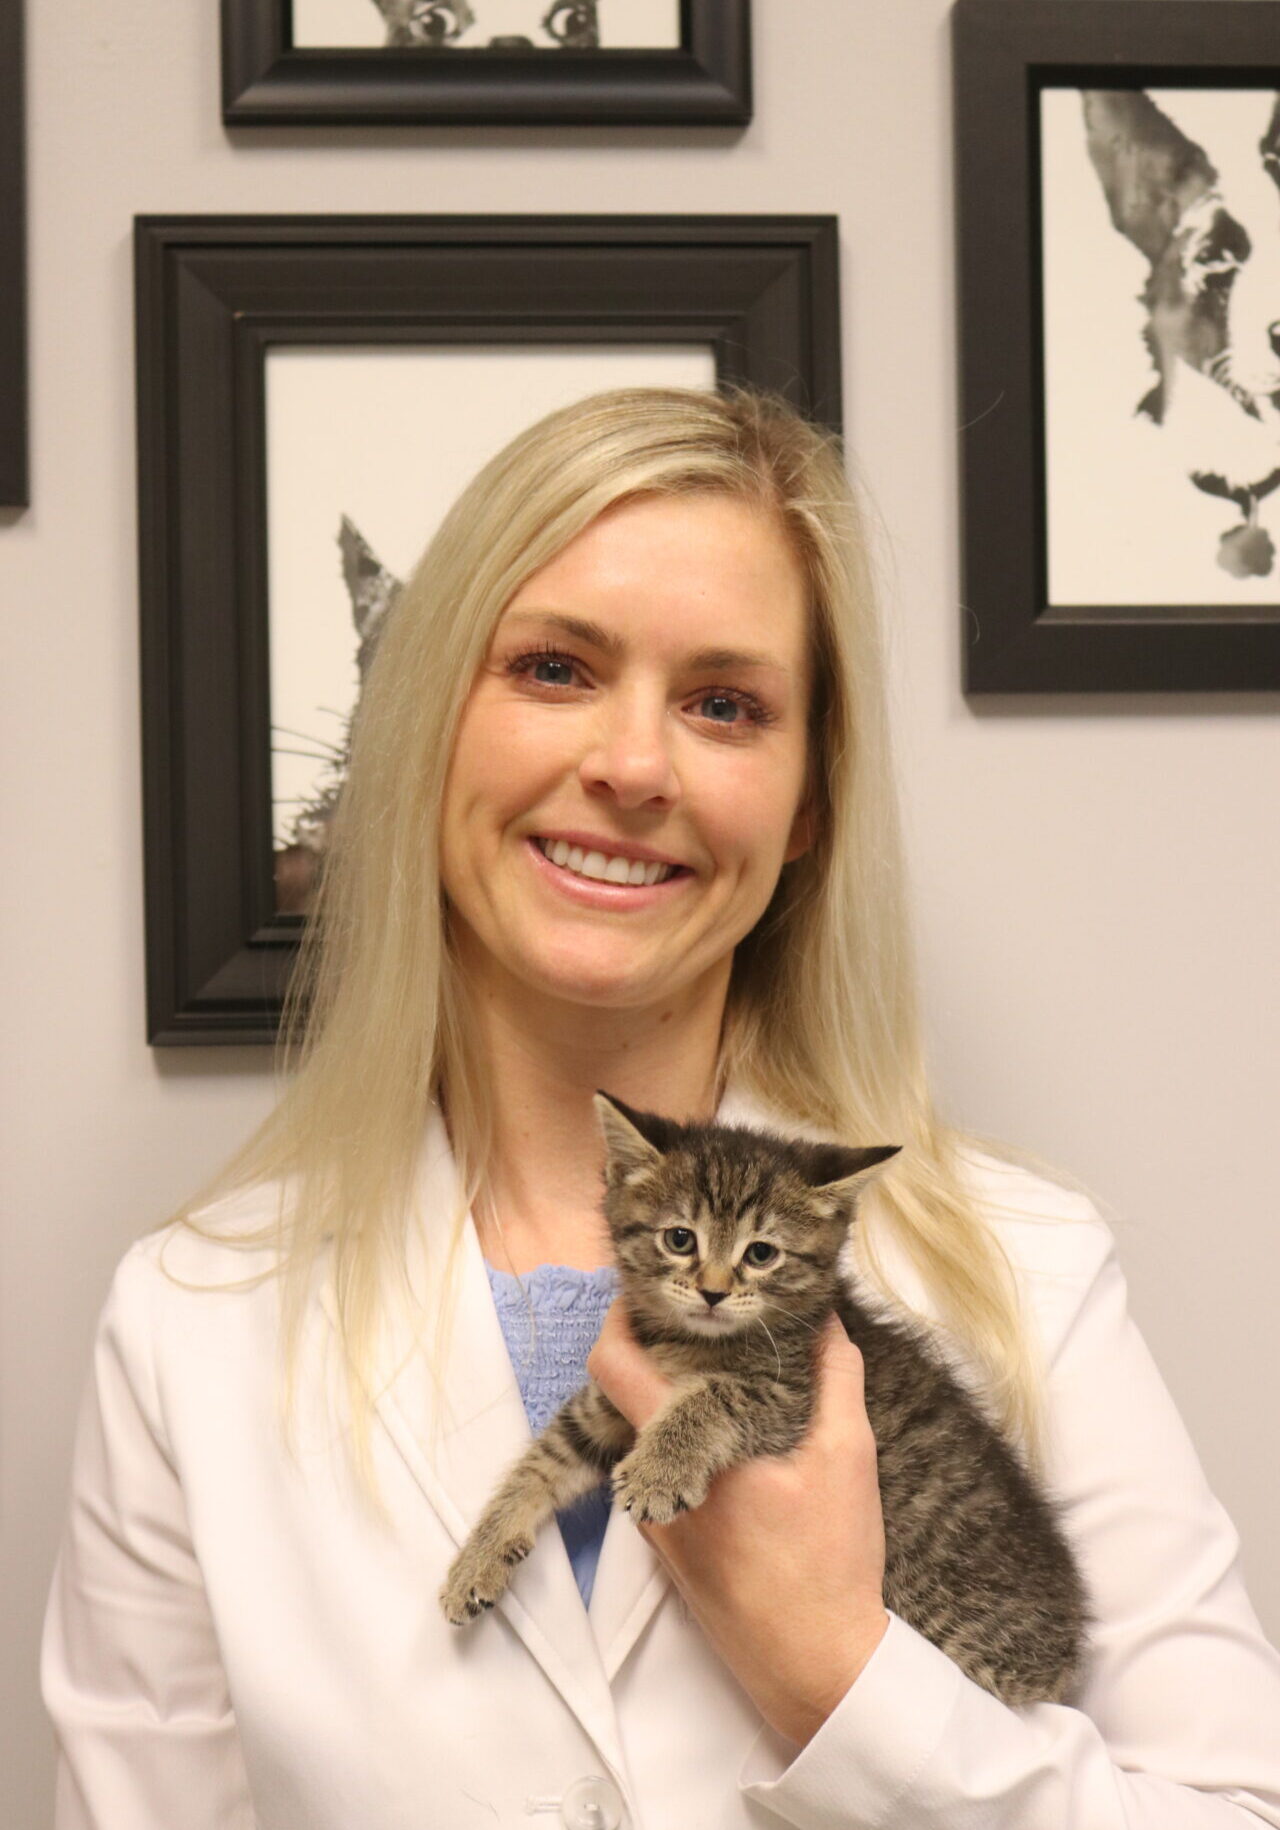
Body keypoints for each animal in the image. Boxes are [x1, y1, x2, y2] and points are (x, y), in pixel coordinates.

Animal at [441, 1090, 1091, 1705]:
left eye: (761, 1253)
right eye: (680, 1239)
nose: (712, 1292)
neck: (688, 1343)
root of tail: (1066, 1650)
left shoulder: (787, 1397)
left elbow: (712, 1397)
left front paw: (659, 1470)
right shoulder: (602, 1413)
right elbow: (539, 1463)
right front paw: (479, 1556)